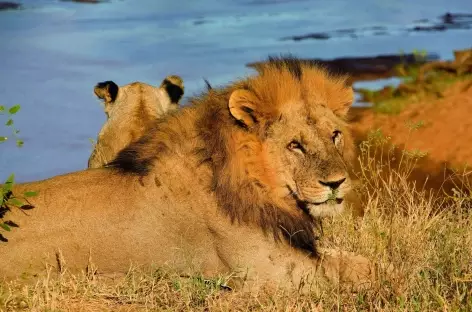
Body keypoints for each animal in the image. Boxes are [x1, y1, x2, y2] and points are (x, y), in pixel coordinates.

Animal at [1, 58, 374, 292]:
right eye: (295, 145)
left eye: (334, 135)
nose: (336, 183)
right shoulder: (271, 274)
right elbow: (359, 270)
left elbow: (357, 259)